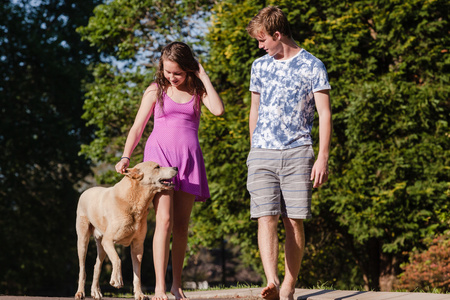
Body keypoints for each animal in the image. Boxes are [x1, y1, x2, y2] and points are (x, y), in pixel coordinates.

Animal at [75, 162, 178, 300]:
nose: (176, 168)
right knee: (82, 268)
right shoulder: (108, 240)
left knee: (97, 266)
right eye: (157, 167)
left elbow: (137, 273)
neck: (135, 201)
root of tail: (86, 191)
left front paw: (140, 294)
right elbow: (117, 259)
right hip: (83, 240)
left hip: (101, 246)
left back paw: (96, 292)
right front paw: (117, 280)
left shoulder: (138, 245)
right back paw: (80, 292)